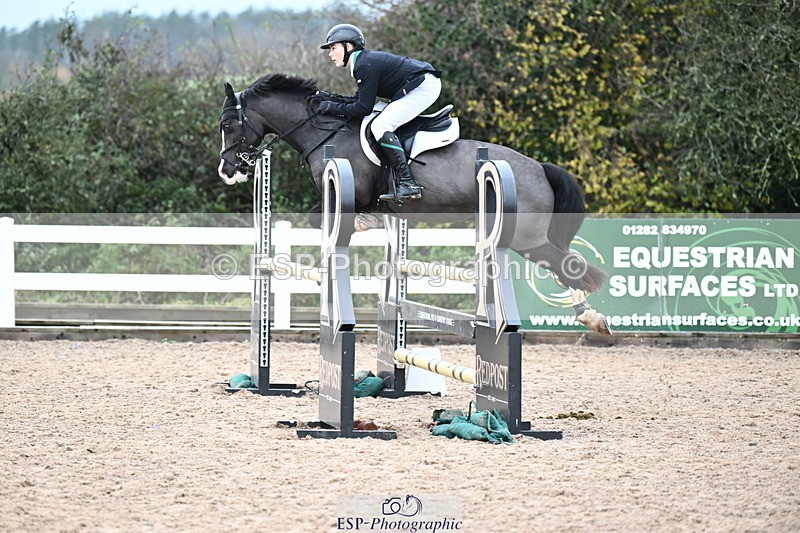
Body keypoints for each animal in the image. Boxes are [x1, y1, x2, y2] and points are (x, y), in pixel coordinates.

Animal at [218, 72, 610, 335]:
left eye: (228, 125)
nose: (228, 171)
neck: (324, 130)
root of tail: (539, 167)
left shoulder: (348, 196)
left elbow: (324, 221)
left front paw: (365, 224)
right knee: (566, 264)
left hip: (527, 239)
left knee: (570, 266)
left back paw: (591, 317)